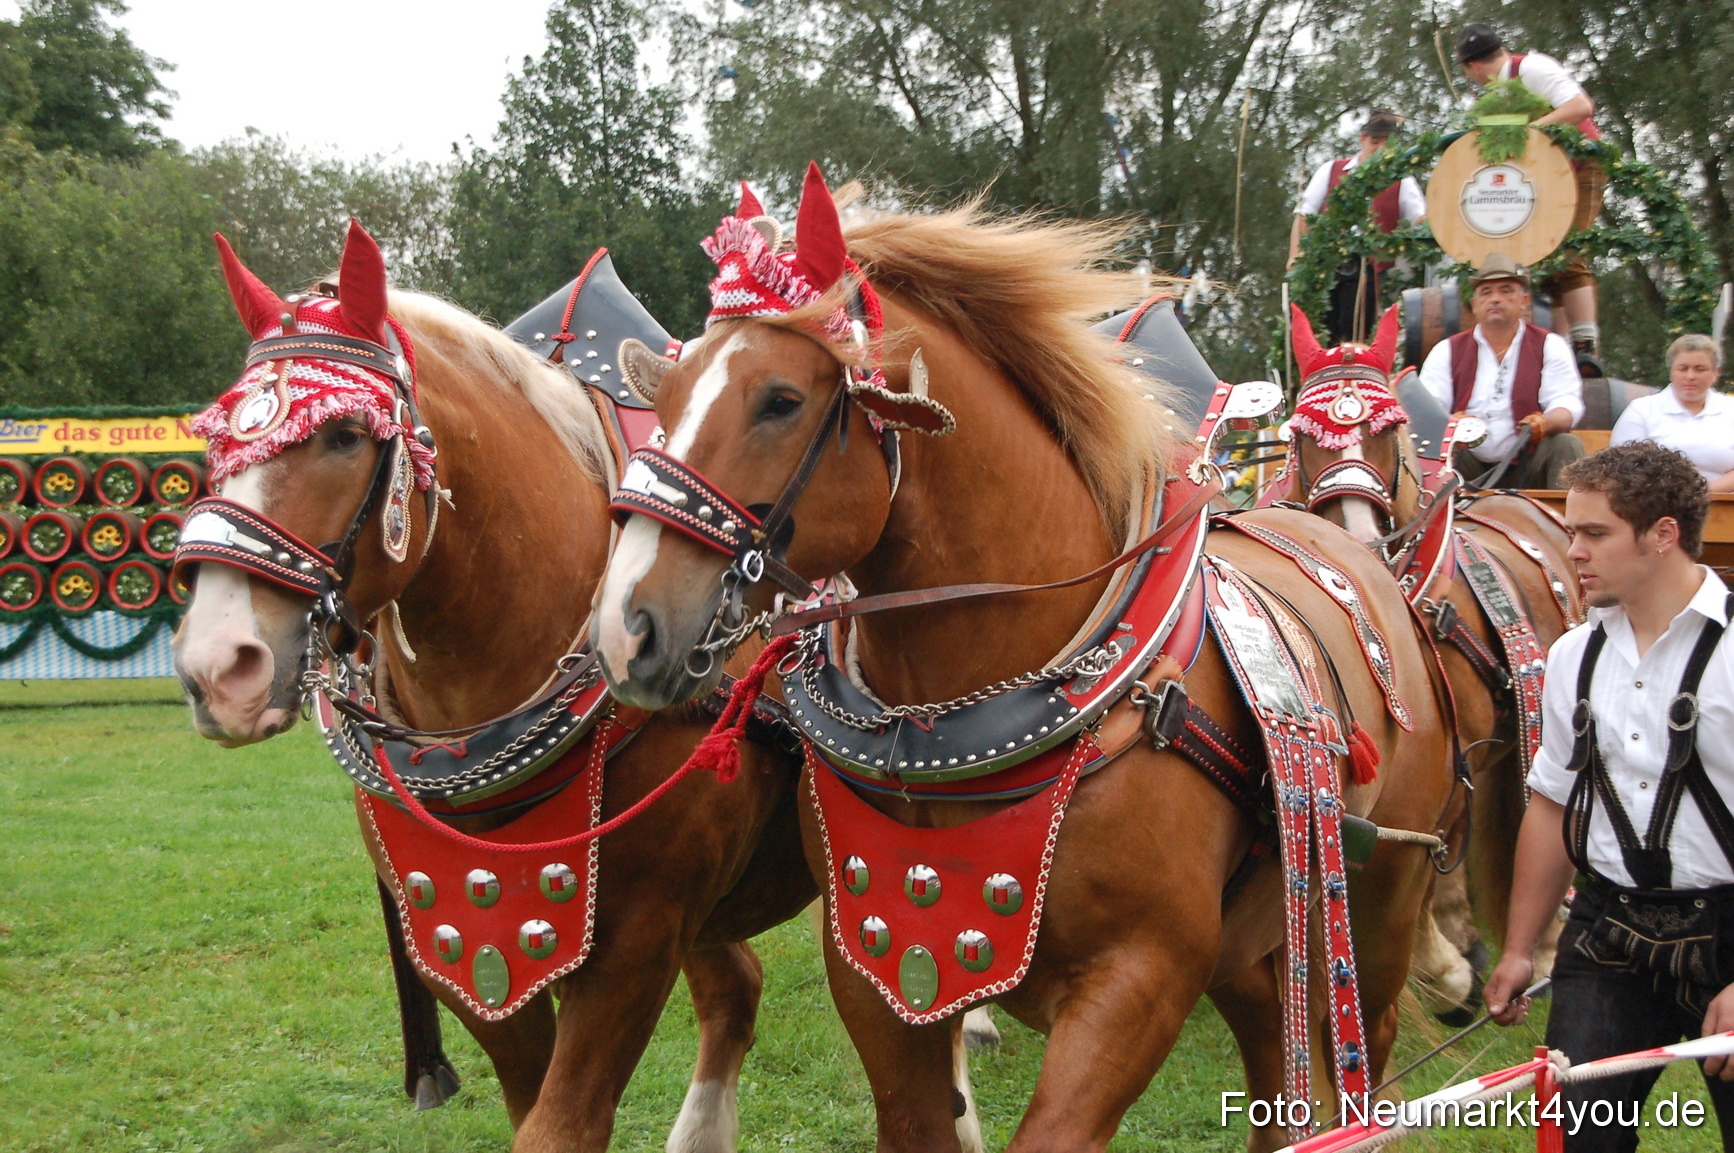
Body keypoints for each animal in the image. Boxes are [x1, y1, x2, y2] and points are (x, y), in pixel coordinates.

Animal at [171, 222, 823, 1153]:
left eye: (343, 434)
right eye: (219, 435)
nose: (218, 664)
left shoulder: (639, 938)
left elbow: (562, 1123)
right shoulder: (464, 935)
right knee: (737, 987)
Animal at [590, 168, 1460, 1151]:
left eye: (781, 399)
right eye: (663, 401)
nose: (626, 627)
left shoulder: (1140, 978)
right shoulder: (875, 963)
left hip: (1378, 906)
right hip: (1255, 938)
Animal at [1276, 304, 1580, 996]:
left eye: (1390, 431)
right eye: (1303, 435)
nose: (1359, 538)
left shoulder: (1447, 758)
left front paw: (1446, 964)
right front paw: (1454, 957)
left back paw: (1547, 948)